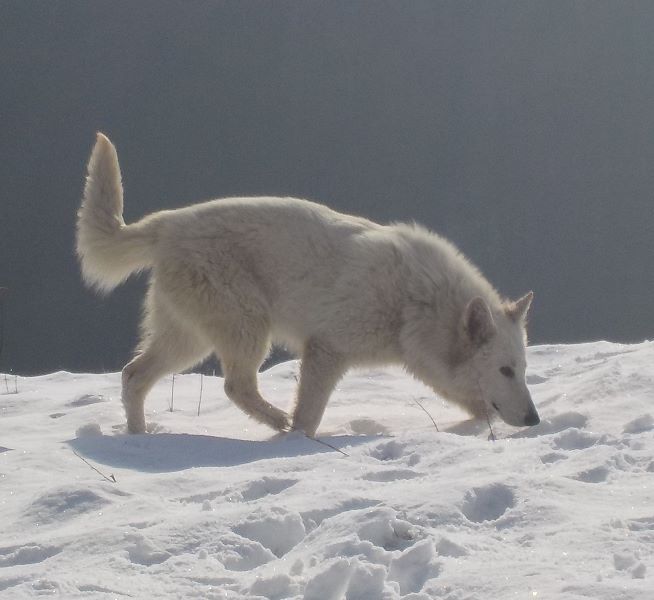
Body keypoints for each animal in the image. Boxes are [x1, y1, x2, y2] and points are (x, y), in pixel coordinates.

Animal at [77, 134, 540, 434]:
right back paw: (276, 422)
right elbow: (308, 418)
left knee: (133, 377)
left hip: (189, 342)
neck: (415, 303)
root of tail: (168, 223)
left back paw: (139, 440)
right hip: (246, 330)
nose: (535, 420)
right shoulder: (325, 351)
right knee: (235, 386)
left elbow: (476, 408)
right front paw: (301, 444)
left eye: (523, 369)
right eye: (505, 370)